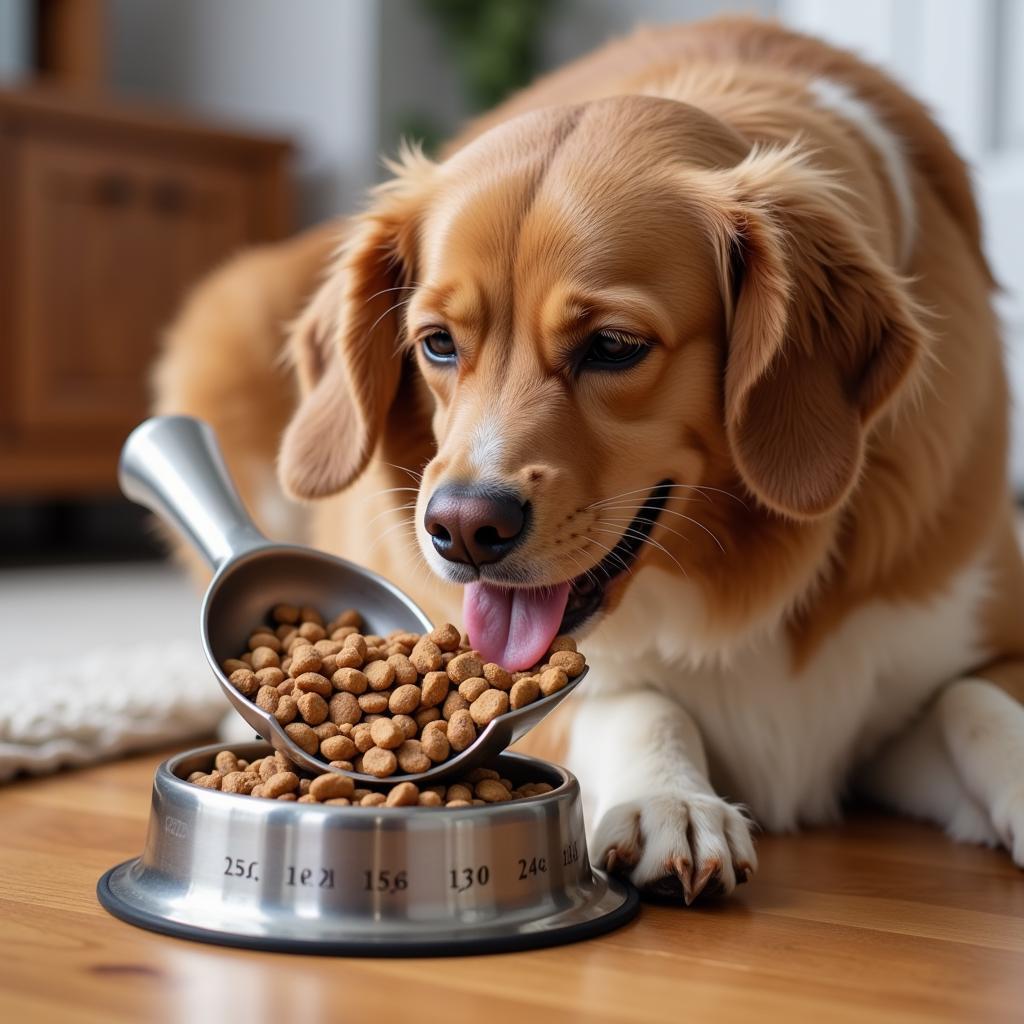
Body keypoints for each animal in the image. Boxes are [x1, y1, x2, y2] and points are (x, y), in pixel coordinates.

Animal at [155, 14, 1024, 897]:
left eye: (612, 346)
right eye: (437, 343)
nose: (462, 530)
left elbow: (975, 703)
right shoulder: (528, 678)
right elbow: (631, 700)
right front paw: (673, 798)